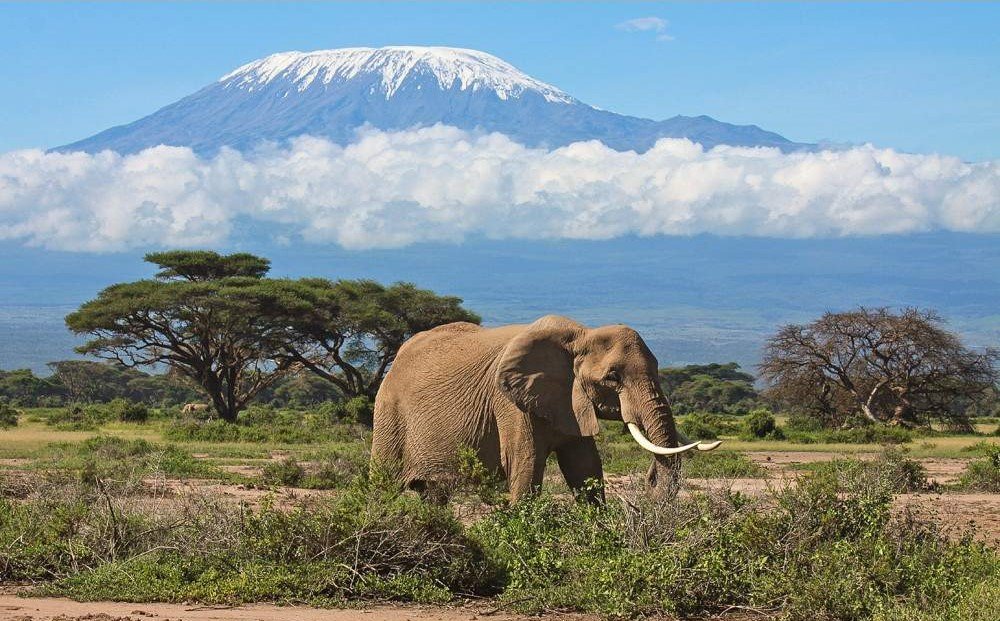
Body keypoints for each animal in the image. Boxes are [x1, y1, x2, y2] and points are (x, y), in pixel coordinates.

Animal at [371, 315, 720, 502]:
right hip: (388, 413)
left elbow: (585, 468)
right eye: (613, 377)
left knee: (434, 495)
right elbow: (525, 466)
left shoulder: (570, 401)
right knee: (383, 485)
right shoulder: (509, 404)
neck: (581, 335)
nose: (649, 479)